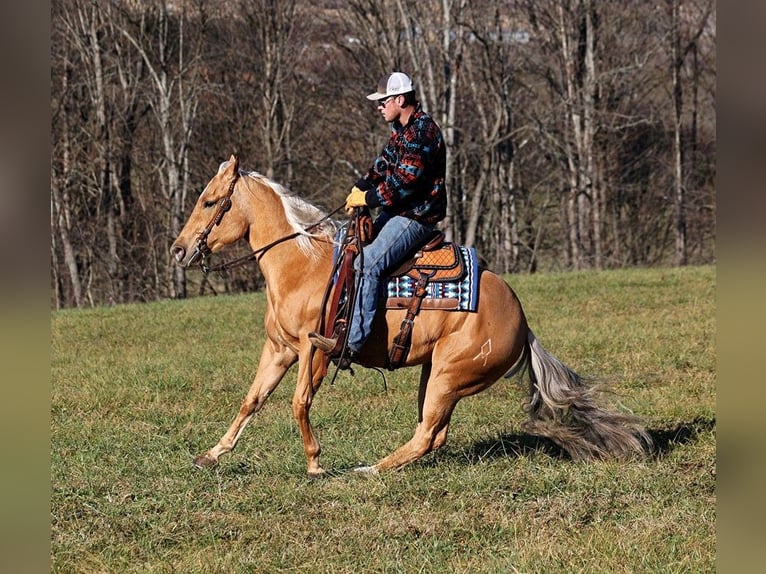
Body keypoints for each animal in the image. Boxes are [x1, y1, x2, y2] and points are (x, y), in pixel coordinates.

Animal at [170, 155, 651, 477]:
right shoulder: (279, 349)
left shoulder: (315, 351)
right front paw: (211, 455)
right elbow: (252, 400)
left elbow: (299, 402)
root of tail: (522, 321)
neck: (302, 265)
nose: (178, 249)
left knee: (427, 434)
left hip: (447, 378)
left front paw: (315, 464)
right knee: (432, 434)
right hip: (434, 374)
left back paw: (370, 469)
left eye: (211, 202)